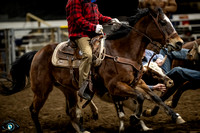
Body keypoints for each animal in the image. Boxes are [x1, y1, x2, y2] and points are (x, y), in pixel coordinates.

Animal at [1, 7, 185, 133]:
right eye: (162, 22)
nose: (179, 42)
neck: (122, 51)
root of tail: (37, 53)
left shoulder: (137, 82)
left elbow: (155, 97)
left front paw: (176, 117)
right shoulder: (115, 86)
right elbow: (138, 98)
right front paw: (134, 118)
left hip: (67, 89)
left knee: (71, 111)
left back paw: (83, 130)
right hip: (41, 90)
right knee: (34, 109)